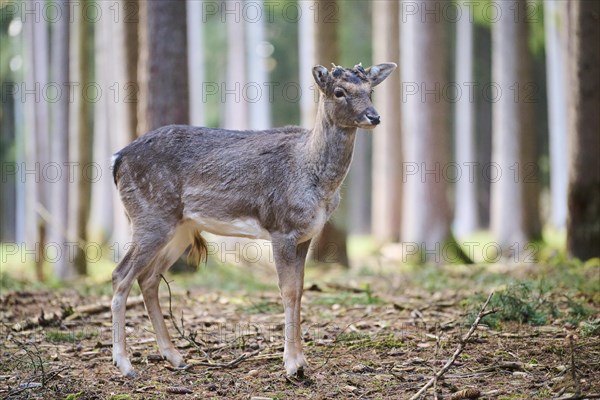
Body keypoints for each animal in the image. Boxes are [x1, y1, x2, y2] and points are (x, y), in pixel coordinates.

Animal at [110, 61, 396, 376]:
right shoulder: (282, 228)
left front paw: (302, 361)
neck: (317, 182)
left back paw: (175, 357)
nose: (374, 116)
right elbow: (288, 291)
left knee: (148, 278)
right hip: (150, 215)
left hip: (180, 228)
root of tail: (117, 159)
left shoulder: (306, 235)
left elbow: (300, 290)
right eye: (339, 91)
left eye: (370, 90)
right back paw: (125, 364)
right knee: (121, 274)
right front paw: (292, 365)